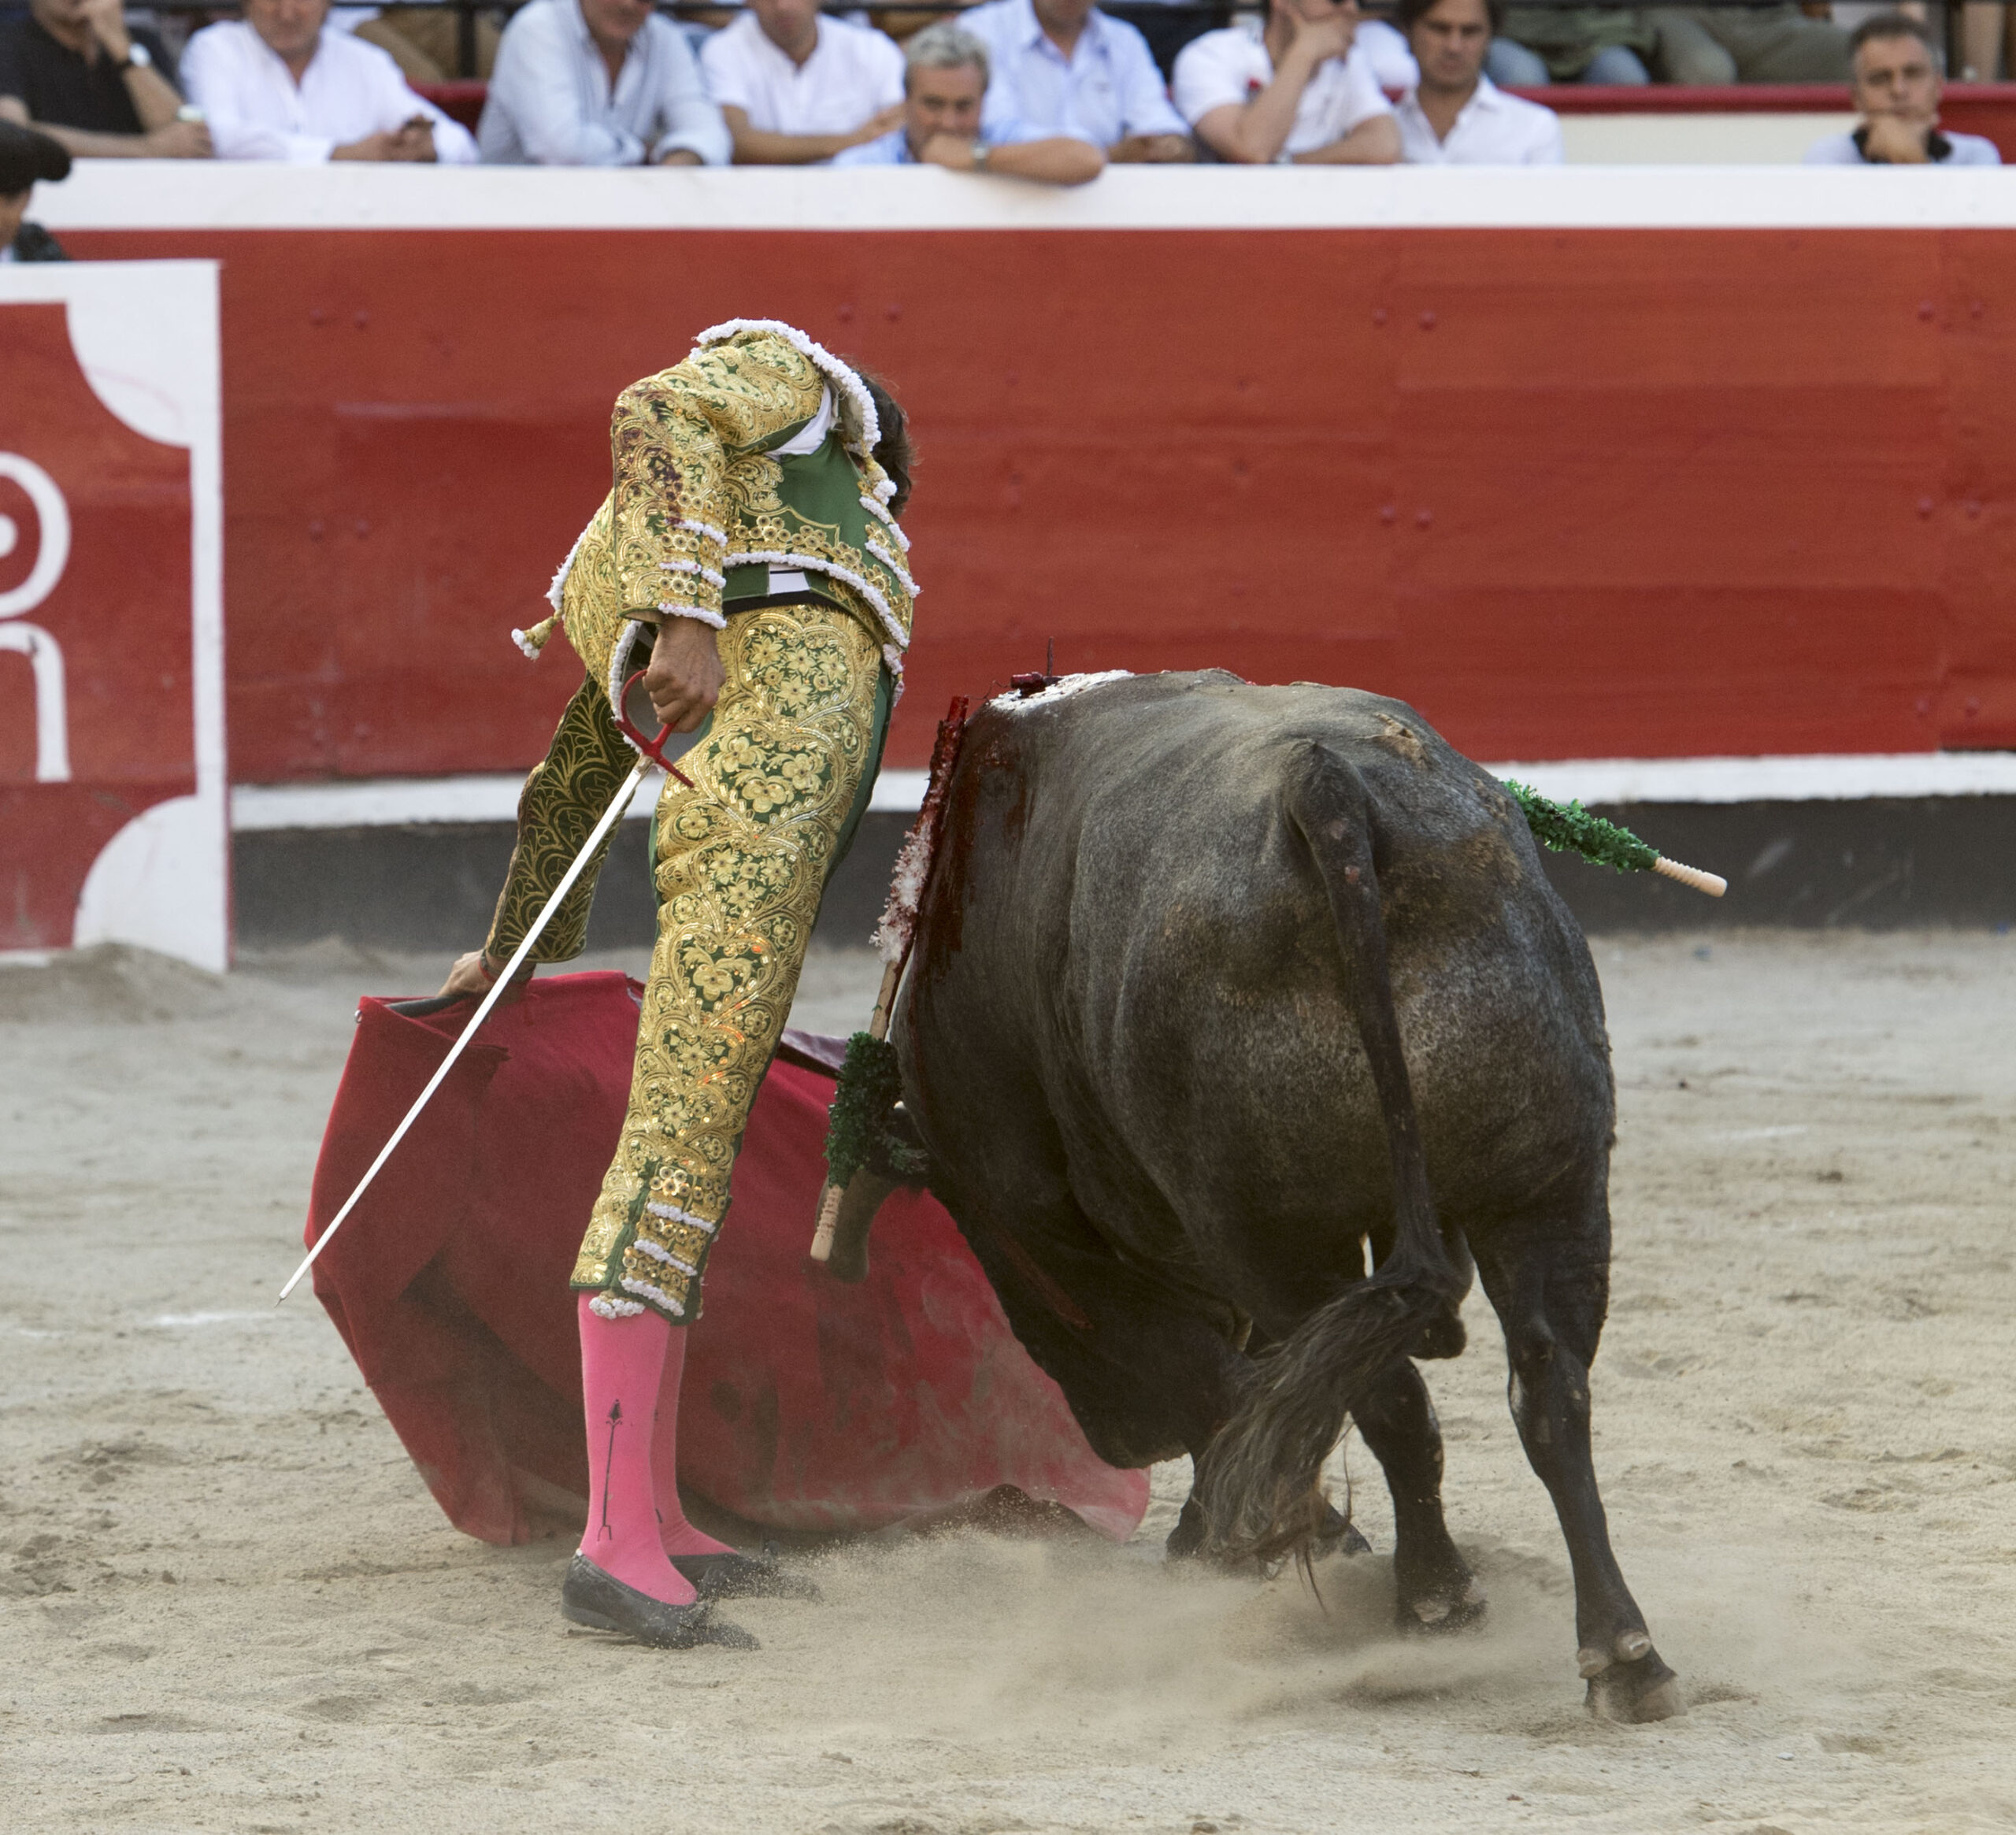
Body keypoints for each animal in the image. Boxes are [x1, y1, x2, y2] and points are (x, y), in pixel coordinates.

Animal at [834, 673, 1685, 1726]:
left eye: (1016, 1276)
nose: (1122, 1441)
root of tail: (1326, 793)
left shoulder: (1092, 1233)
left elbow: (1214, 1378)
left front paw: (1251, 1538)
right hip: (1549, 1185)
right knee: (1550, 1388)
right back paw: (1622, 1651)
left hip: (1276, 1237)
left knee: (1382, 1398)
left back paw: (1436, 1595)